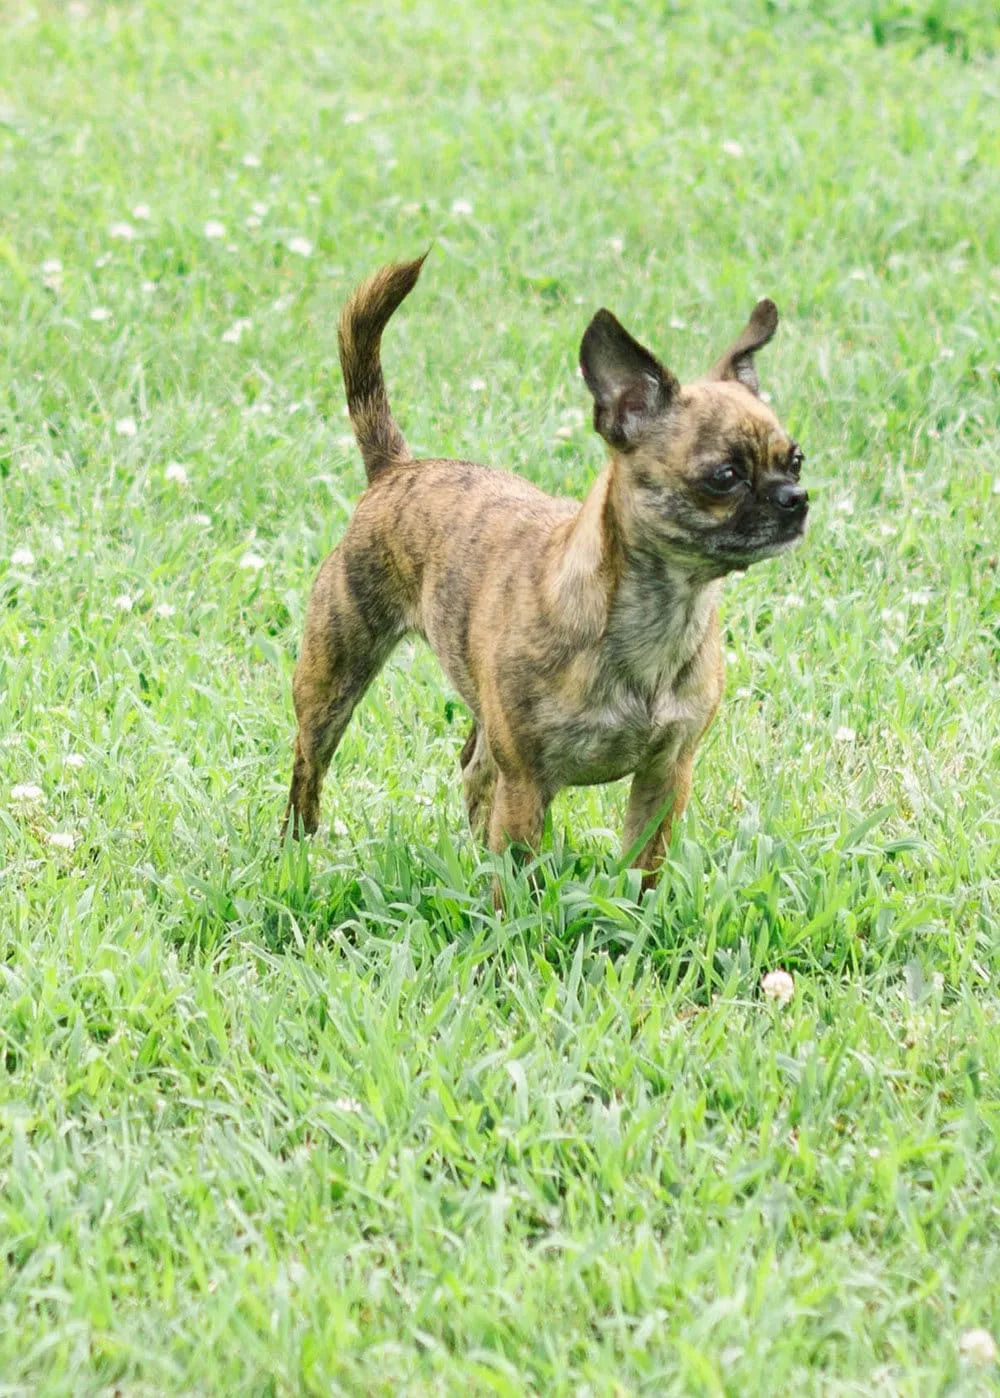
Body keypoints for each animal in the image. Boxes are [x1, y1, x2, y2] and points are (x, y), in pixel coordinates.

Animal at [283, 254, 805, 894]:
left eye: (797, 460)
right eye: (724, 477)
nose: (796, 499)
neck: (659, 614)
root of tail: (397, 468)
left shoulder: (665, 776)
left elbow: (644, 868)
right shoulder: (528, 784)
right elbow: (518, 885)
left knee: (472, 768)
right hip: (331, 681)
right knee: (309, 767)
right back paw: (296, 851)